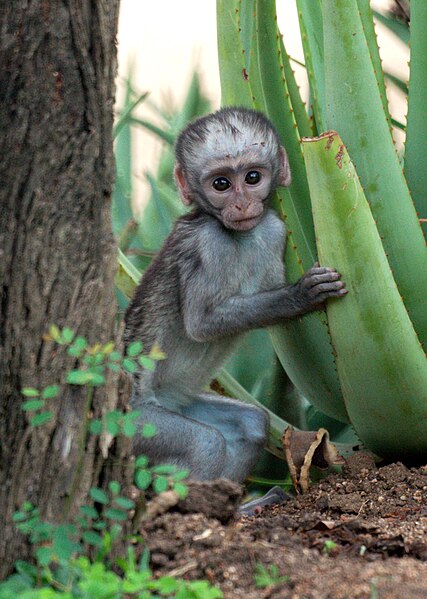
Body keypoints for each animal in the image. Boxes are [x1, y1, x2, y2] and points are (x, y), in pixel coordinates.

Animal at [124, 109, 348, 488]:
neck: (239, 237)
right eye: (221, 184)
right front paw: (300, 296)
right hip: (137, 422)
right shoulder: (207, 243)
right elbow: (200, 324)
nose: (242, 204)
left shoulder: (273, 230)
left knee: (250, 424)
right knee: (204, 442)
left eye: (252, 177)